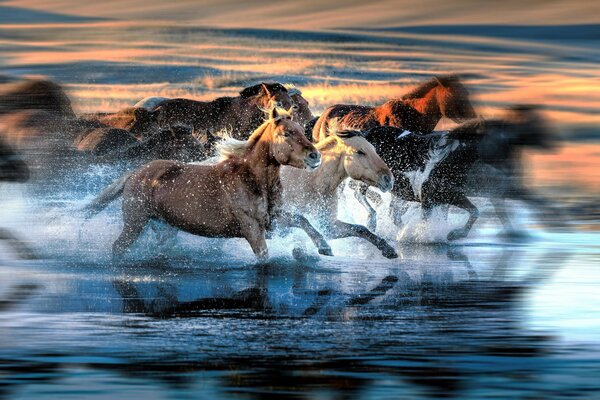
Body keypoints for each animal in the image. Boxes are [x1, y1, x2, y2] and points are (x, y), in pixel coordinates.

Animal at [82, 108, 330, 260]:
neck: (252, 180)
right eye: (287, 133)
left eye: (302, 131)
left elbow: (302, 219)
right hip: (135, 224)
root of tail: (134, 174)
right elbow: (264, 256)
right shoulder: (252, 228)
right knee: (118, 247)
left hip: (164, 228)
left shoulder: (273, 219)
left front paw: (325, 247)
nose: (315, 156)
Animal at [282, 125, 398, 260]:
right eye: (360, 152)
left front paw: (388, 249)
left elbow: (360, 229)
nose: (389, 179)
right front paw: (324, 246)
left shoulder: (328, 225)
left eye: (374, 149)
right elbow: (300, 219)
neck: (310, 184)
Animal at [360, 106, 552, 241]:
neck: (448, 161)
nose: (513, 173)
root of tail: (366, 132)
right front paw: (426, 237)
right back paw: (372, 220)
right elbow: (470, 212)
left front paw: (451, 234)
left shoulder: (449, 196)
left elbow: (474, 211)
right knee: (360, 194)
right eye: (500, 143)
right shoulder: (432, 198)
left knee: (393, 211)